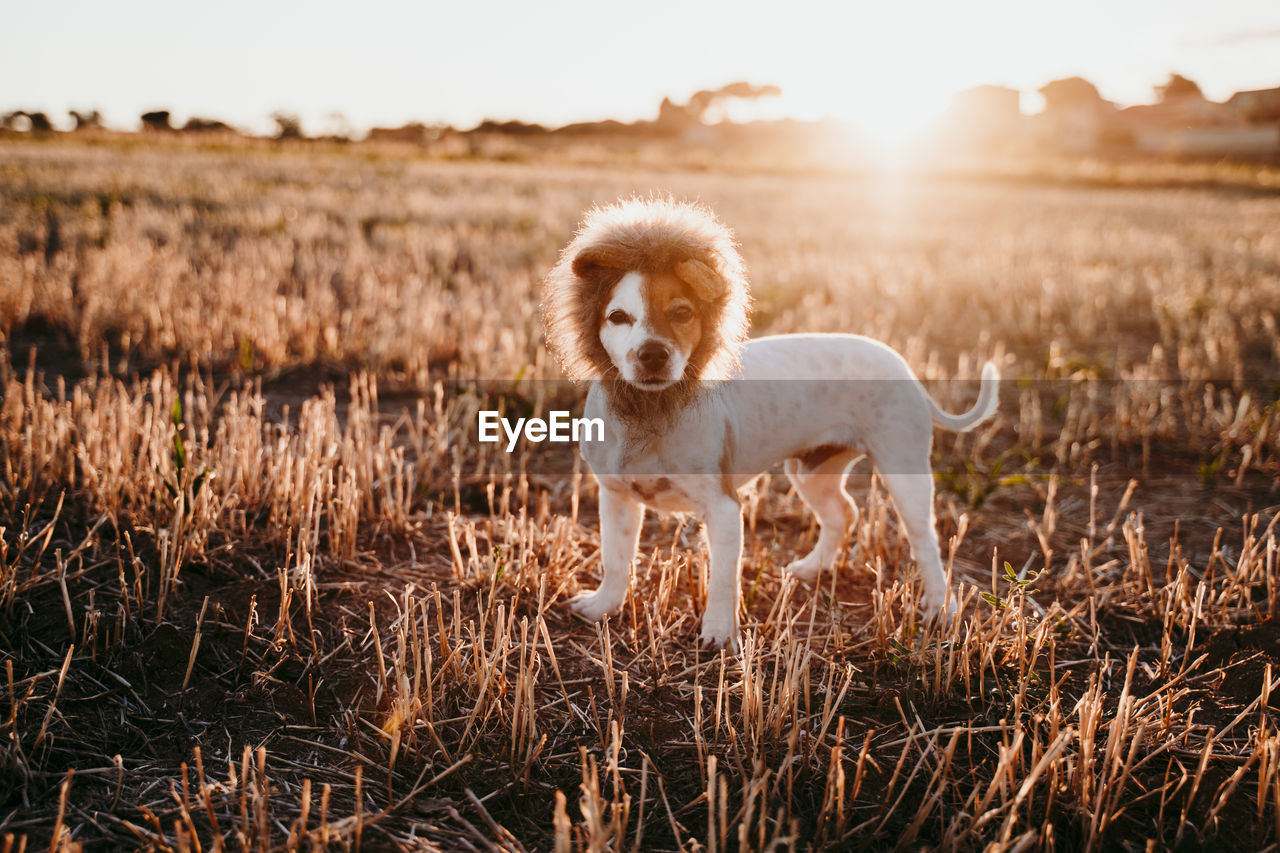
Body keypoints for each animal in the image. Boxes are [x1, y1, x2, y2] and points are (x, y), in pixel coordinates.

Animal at [542, 199, 998, 648]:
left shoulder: (724, 508)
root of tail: (904, 366)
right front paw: (603, 605)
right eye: (618, 317)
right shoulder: (617, 497)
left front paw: (719, 634)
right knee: (842, 512)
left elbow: (723, 581)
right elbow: (615, 558)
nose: (652, 353)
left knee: (926, 542)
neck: (652, 411)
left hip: (904, 472)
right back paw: (813, 568)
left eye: (683, 312)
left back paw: (940, 608)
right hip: (812, 470)